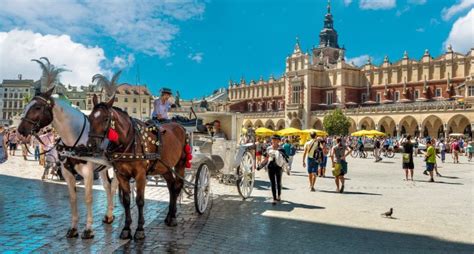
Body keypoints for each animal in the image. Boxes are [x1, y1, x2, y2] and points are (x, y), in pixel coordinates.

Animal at [18, 57, 118, 238]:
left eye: (37, 107)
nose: (20, 130)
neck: (74, 139)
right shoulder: (67, 172)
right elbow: (72, 198)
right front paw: (73, 228)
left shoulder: (87, 173)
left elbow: (88, 198)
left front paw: (88, 229)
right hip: (102, 168)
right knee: (108, 187)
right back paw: (108, 216)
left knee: (116, 186)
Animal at [87, 95, 187, 240]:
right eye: (89, 118)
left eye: (106, 119)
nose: (91, 146)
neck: (128, 142)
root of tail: (180, 126)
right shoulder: (121, 175)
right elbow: (127, 201)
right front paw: (126, 229)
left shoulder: (140, 175)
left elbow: (140, 201)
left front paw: (139, 229)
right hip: (165, 167)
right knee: (171, 187)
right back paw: (169, 216)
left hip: (180, 164)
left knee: (177, 186)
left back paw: (173, 217)